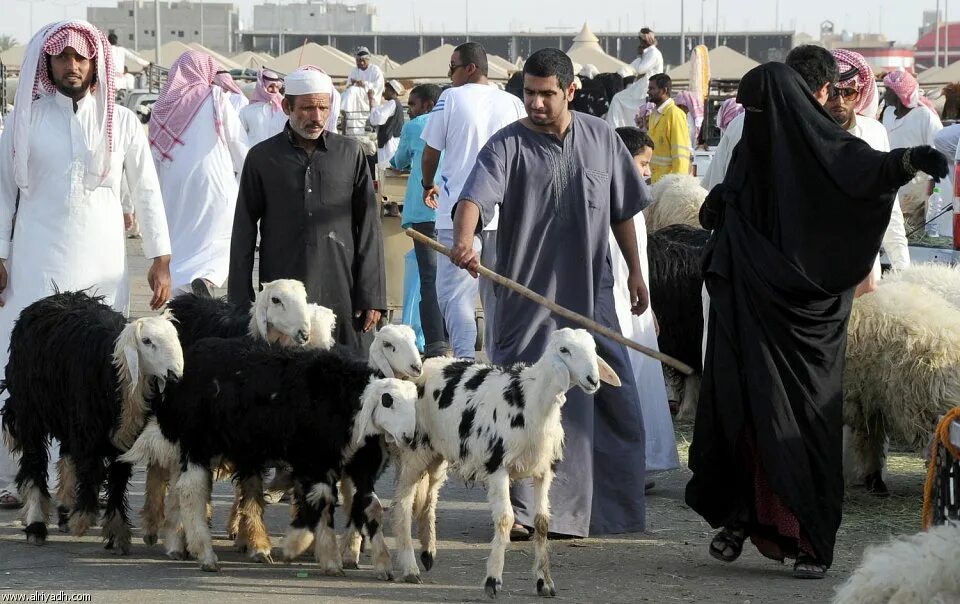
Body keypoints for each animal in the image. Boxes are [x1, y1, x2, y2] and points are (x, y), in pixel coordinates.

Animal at [0, 290, 183, 556]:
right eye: (147, 341)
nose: (175, 375)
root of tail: (48, 300)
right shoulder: (88, 431)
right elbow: (91, 469)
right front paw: (83, 518)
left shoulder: (122, 439)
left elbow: (117, 480)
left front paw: (116, 532)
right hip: (30, 411)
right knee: (35, 463)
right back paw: (36, 525)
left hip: (68, 415)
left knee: (66, 455)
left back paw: (65, 511)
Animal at [122, 336, 418, 576]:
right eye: (388, 401)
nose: (409, 437)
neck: (345, 399)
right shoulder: (314, 461)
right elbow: (321, 501)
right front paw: (299, 545)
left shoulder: (356, 468)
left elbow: (371, 507)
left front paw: (380, 564)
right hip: (199, 443)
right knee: (191, 492)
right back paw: (205, 554)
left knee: (182, 489)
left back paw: (179, 545)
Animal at [392, 330, 624, 600]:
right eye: (564, 350)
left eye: (594, 349)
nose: (593, 380)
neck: (531, 399)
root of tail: (423, 364)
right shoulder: (497, 466)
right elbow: (504, 518)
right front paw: (493, 580)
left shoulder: (544, 471)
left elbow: (542, 522)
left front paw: (544, 582)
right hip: (414, 448)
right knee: (403, 503)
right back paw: (410, 567)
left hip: (438, 452)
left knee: (430, 497)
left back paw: (428, 552)